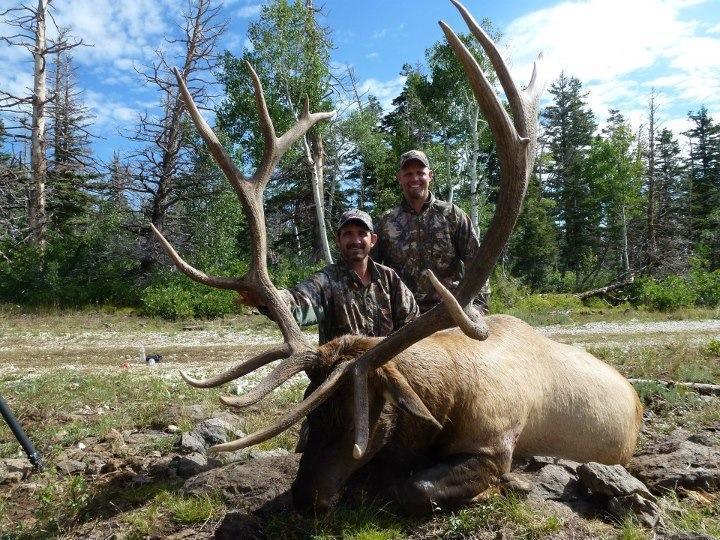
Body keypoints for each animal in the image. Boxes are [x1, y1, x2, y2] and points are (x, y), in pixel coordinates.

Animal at [152, 0, 640, 516]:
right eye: (312, 407)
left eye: (364, 415)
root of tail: (637, 398)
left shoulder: (496, 442)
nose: (305, 496)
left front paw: (501, 485)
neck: (448, 399)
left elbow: (413, 486)